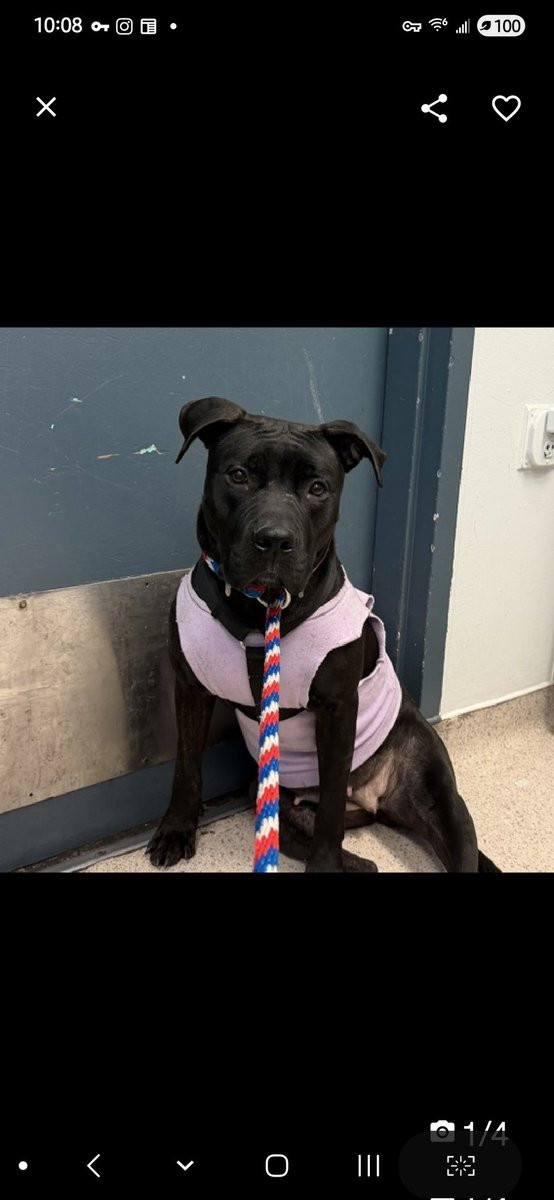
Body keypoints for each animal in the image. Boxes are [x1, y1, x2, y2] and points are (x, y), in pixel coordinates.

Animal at [147, 397, 500, 873]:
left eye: (317, 488)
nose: (274, 540)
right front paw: (177, 829)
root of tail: (371, 800)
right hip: (276, 805)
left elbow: (330, 805)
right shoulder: (190, 687)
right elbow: (186, 766)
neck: (261, 612)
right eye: (239, 476)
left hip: (441, 797)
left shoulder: (337, 710)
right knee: (345, 852)